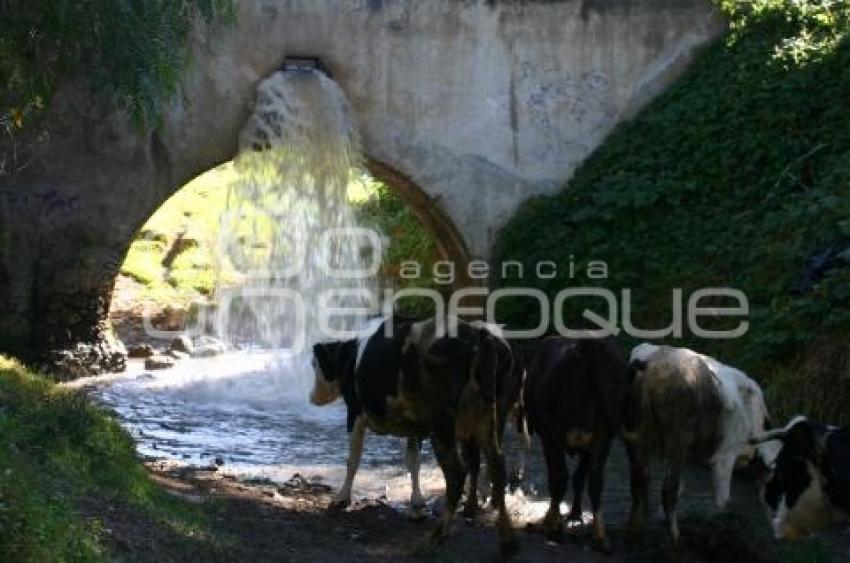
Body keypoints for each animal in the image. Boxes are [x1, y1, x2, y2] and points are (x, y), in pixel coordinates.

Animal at [310, 318, 516, 556]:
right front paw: (417, 506)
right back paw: (505, 540)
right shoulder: (415, 428)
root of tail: (477, 334)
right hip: (488, 418)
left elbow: (353, 459)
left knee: (457, 472)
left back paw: (436, 538)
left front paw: (341, 497)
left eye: (314, 364)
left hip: (443, 424)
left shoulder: (355, 413)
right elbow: (413, 462)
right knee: (495, 464)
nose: (312, 398)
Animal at [520, 334, 632, 552]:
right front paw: (573, 516)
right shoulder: (594, 440)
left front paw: (553, 523)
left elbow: (561, 477)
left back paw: (555, 526)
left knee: (563, 476)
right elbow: (581, 477)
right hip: (603, 434)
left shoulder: (550, 434)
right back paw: (601, 537)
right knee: (595, 480)